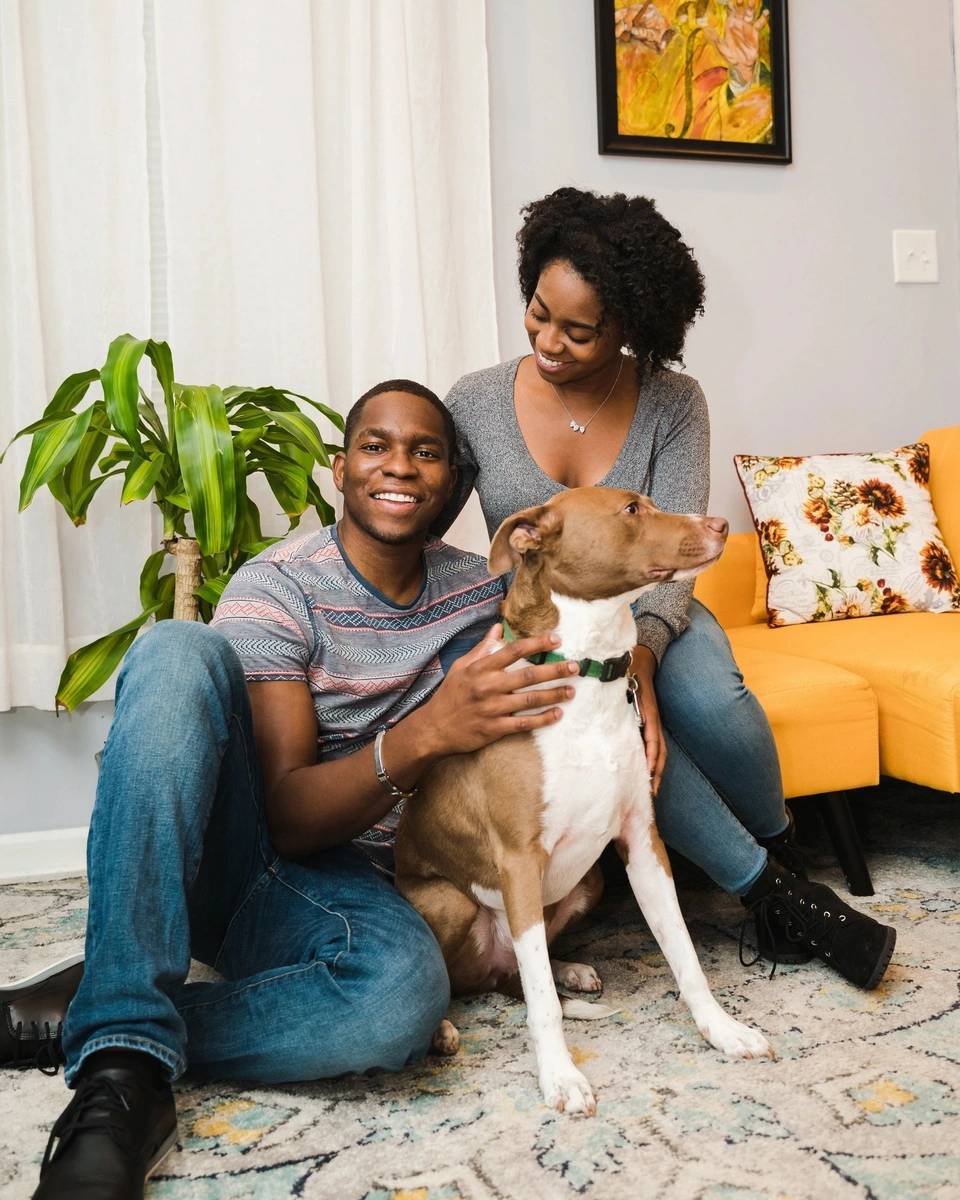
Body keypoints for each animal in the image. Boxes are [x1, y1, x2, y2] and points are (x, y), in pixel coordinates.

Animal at [393, 484, 777, 1113]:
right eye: (631, 510)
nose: (721, 524)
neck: (590, 676)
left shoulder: (643, 845)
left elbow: (684, 953)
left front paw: (722, 1030)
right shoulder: (519, 862)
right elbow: (541, 1005)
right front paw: (561, 1077)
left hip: (589, 881)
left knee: (523, 970)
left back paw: (570, 970)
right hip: (453, 903)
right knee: (473, 982)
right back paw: (442, 1030)